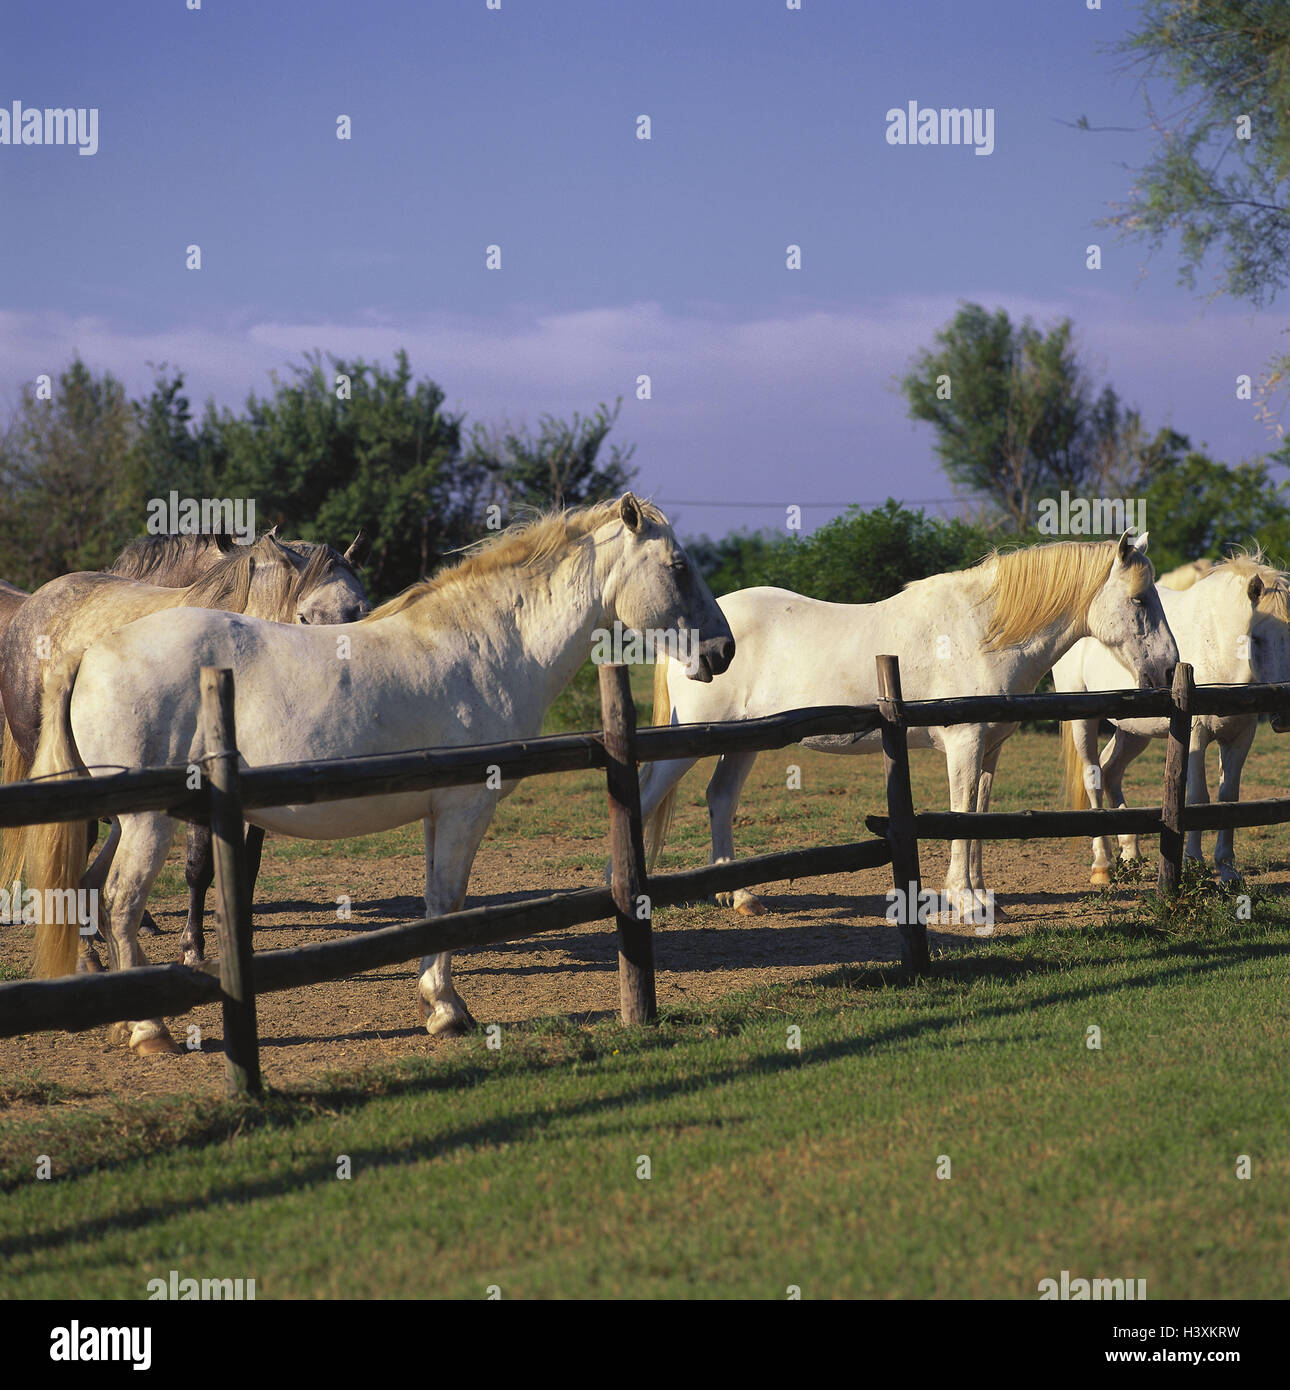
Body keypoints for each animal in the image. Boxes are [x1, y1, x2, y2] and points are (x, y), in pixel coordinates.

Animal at [0, 530, 368, 965]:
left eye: (360, 611)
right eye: (305, 618)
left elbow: (247, 866)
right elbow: (198, 868)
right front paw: (193, 947)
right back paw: (87, 955)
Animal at [638, 532, 1179, 921]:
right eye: (1139, 601)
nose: (1170, 668)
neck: (981, 631)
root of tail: (694, 638)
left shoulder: (989, 749)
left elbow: (978, 817)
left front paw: (982, 896)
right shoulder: (964, 745)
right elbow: (960, 815)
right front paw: (965, 901)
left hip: (744, 742)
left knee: (720, 799)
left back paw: (741, 897)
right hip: (690, 743)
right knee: (646, 797)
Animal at [1055, 552, 1290, 884]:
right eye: (1256, 638)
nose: (1285, 717)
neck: (1216, 645)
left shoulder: (1240, 738)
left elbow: (1229, 798)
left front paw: (1227, 868)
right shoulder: (1195, 736)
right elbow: (1198, 797)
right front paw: (1193, 860)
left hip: (1133, 731)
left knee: (1111, 770)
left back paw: (1131, 853)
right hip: (1083, 722)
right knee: (1093, 776)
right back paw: (1102, 864)